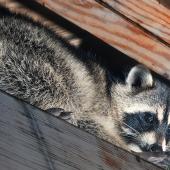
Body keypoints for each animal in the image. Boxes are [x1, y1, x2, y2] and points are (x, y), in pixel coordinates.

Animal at [0, 6, 170, 153]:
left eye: (169, 130)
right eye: (149, 118)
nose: (156, 148)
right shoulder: (98, 104)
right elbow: (87, 120)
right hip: (26, 52)